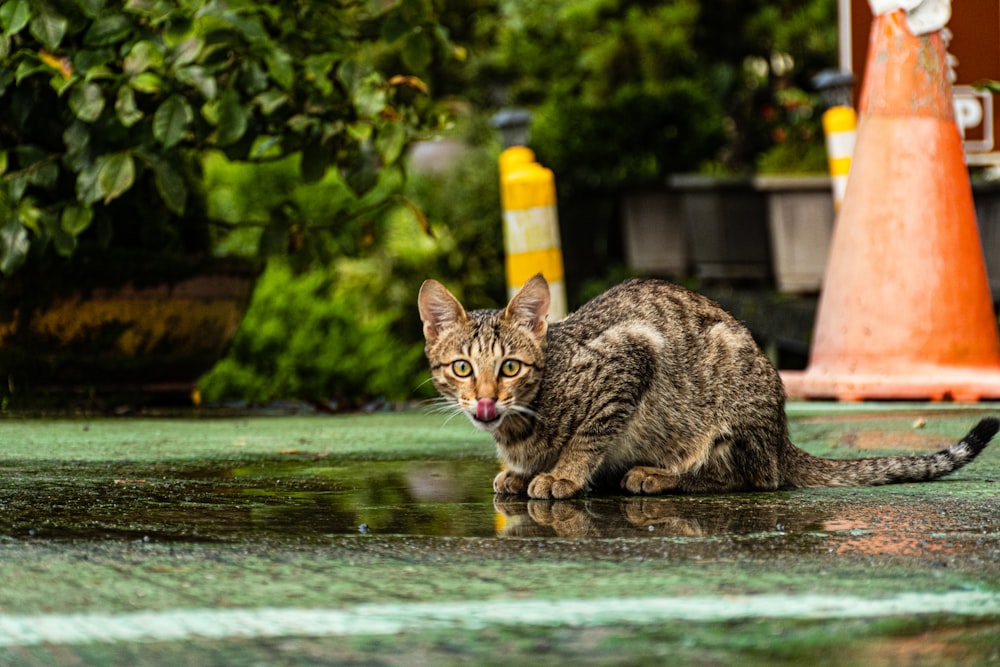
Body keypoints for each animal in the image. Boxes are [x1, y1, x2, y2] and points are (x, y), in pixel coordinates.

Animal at [418, 274, 996, 498]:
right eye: (463, 369)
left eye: (510, 368)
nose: (486, 400)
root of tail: (782, 438)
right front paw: (519, 472)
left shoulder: (630, 357)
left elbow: (589, 434)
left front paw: (562, 473)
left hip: (729, 400)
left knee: (750, 477)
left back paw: (656, 475)